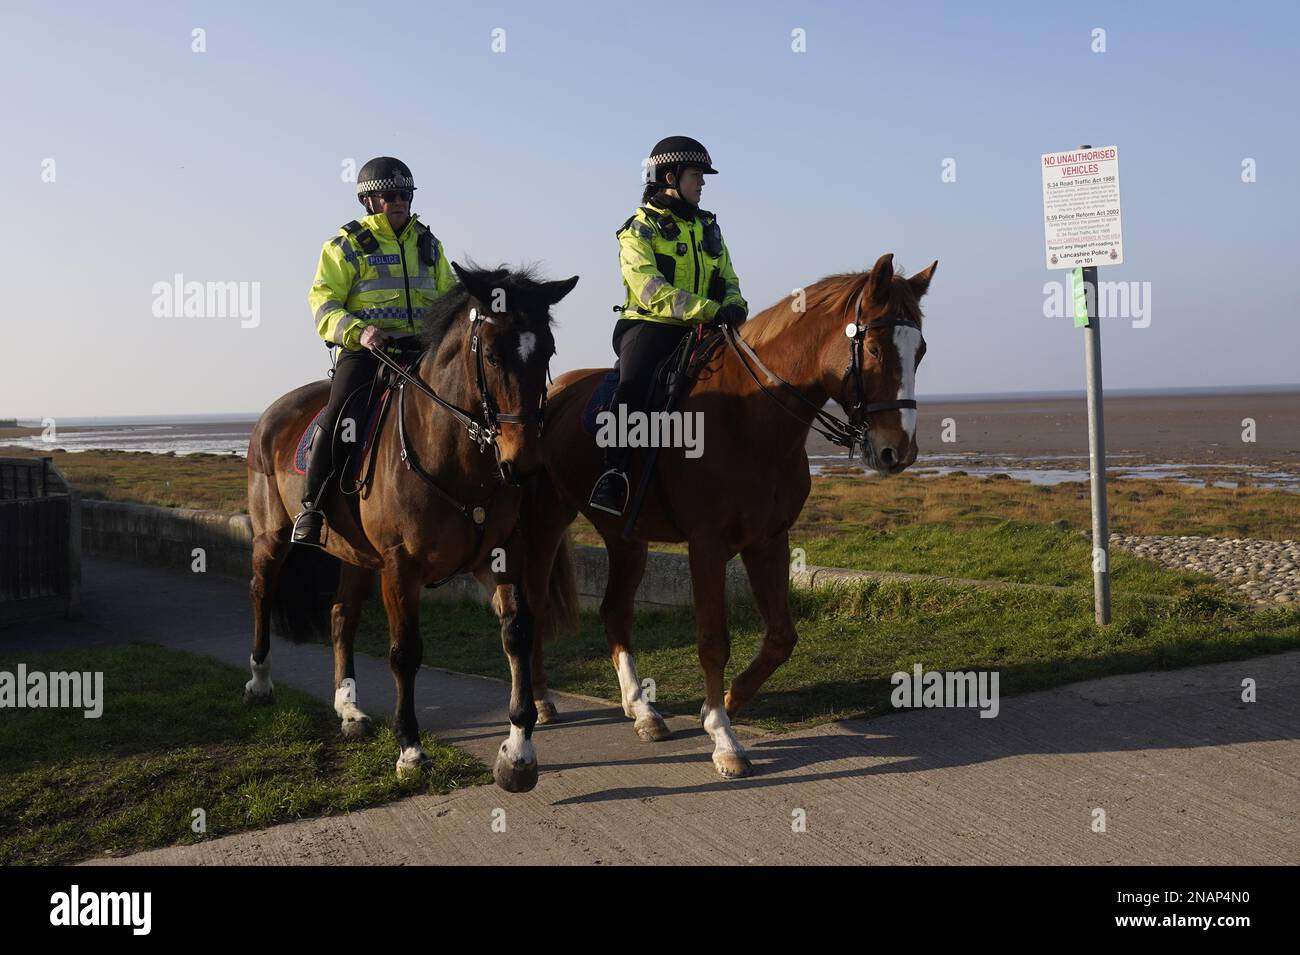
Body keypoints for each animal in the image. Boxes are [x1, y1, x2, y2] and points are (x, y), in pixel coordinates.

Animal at [244, 263, 579, 789]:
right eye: (493, 354)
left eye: (546, 351)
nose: (522, 463)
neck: (455, 457)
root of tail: (273, 412)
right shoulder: (400, 567)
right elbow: (405, 652)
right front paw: (410, 749)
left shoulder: (500, 554)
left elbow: (518, 633)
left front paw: (519, 752)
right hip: (272, 538)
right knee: (261, 592)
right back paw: (259, 682)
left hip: (356, 556)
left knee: (341, 617)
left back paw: (350, 710)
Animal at [517, 252, 935, 779]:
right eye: (876, 348)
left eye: (920, 351)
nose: (897, 451)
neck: (750, 417)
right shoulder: (708, 545)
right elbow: (713, 640)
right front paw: (723, 738)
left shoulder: (768, 539)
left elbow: (781, 637)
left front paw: (724, 705)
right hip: (545, 523)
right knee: (533, 605)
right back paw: (541, 699)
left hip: (626, 538)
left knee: (615, 612)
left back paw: (642, 710)